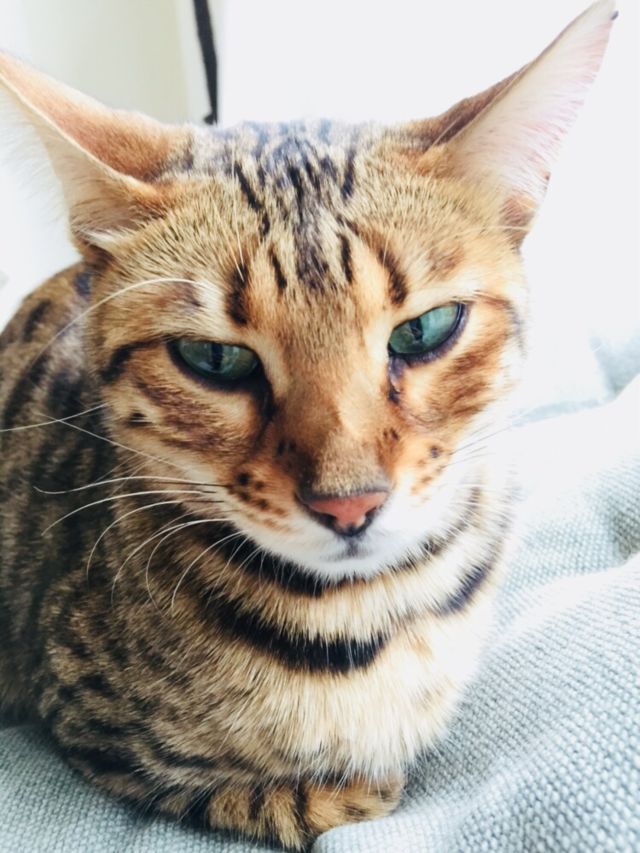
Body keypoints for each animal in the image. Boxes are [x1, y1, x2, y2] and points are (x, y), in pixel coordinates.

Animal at [0, 2, 616, 850]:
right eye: (215, 358)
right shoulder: (90, 720)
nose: (348, 503)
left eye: (425, 331)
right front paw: (341, 786)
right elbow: (290, 795)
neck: (368, 613)